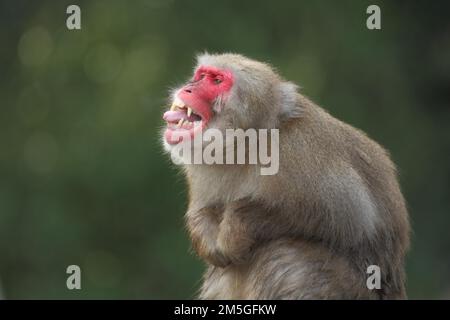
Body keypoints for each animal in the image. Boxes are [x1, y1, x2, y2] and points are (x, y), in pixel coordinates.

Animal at [163, 53, 412, 300]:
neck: (245, 146)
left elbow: (350, 218)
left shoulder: (300, 153)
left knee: (284, 257)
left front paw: (238, 227)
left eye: (216, 81)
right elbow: (203, 212)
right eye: (201, 75)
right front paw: (210, 240)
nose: (189, 88)